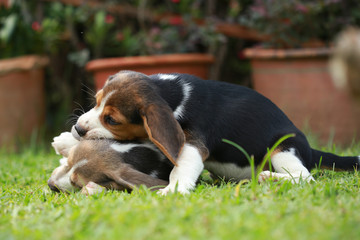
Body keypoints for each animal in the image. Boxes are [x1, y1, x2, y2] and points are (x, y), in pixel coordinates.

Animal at [63, 70, 358, 194]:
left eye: (111, 119)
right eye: (96, 101)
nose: (78, 128)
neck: (172, 93)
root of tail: (311, 150)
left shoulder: (193, 143)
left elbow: (180, 168)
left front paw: (172, 190)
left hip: (283, 148)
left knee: (306, 177)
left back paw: (269, 178)